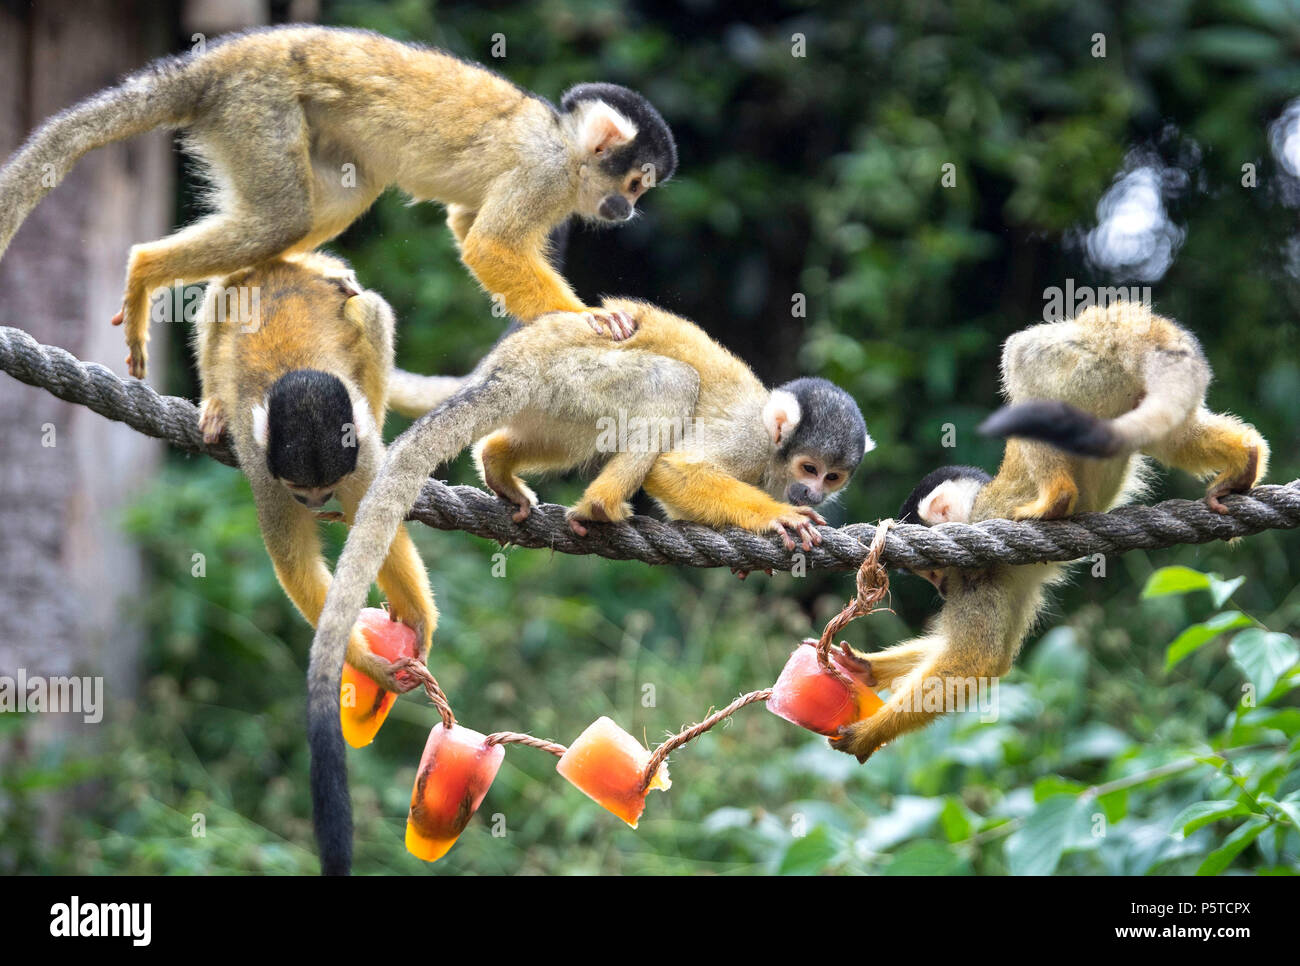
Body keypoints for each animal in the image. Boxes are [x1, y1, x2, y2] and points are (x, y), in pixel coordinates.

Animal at [5, 22, 681, 377]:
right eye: (636, 183)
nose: (629, 211)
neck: (568, 148)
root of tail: (216, 63)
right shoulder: (545, 172)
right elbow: (490, 244)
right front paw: (586, 318)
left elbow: (468, 224)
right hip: (256, 102)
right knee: (280, 216)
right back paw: (146, 270)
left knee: (335, 196)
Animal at [191, 250, 436, 696]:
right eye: (297, 486)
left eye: (329, 485)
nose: (315, 500)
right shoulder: (262, 468)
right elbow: (295, 560)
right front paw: (368, 664)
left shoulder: (361, 458)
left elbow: (376, 527)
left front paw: (418, 619)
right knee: (220, 295)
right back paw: (215, 401)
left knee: (366, 309)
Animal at [305, 299, 873, 873]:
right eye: (808, 467)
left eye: (832, 477)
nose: (813, 493)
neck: (773, 460)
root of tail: (510, 364)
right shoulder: (748, 444)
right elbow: (673, 471)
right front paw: (777, 517)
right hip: (576, 380)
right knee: (672, 382)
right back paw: (602, 505)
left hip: (557, 402)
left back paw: (500, 465)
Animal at [832, 301, 1268, 764]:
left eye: (933, 570)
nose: (942, 590)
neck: (979, 511)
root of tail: (1134, 326)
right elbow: (996, 653)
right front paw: (867, 668)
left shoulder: (981, 571)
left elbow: (976, 660)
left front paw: (867, 734)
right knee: (1163, 428)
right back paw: (1244, 459)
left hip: (1080, 366)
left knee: (1022, 360)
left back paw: (1055, 499)